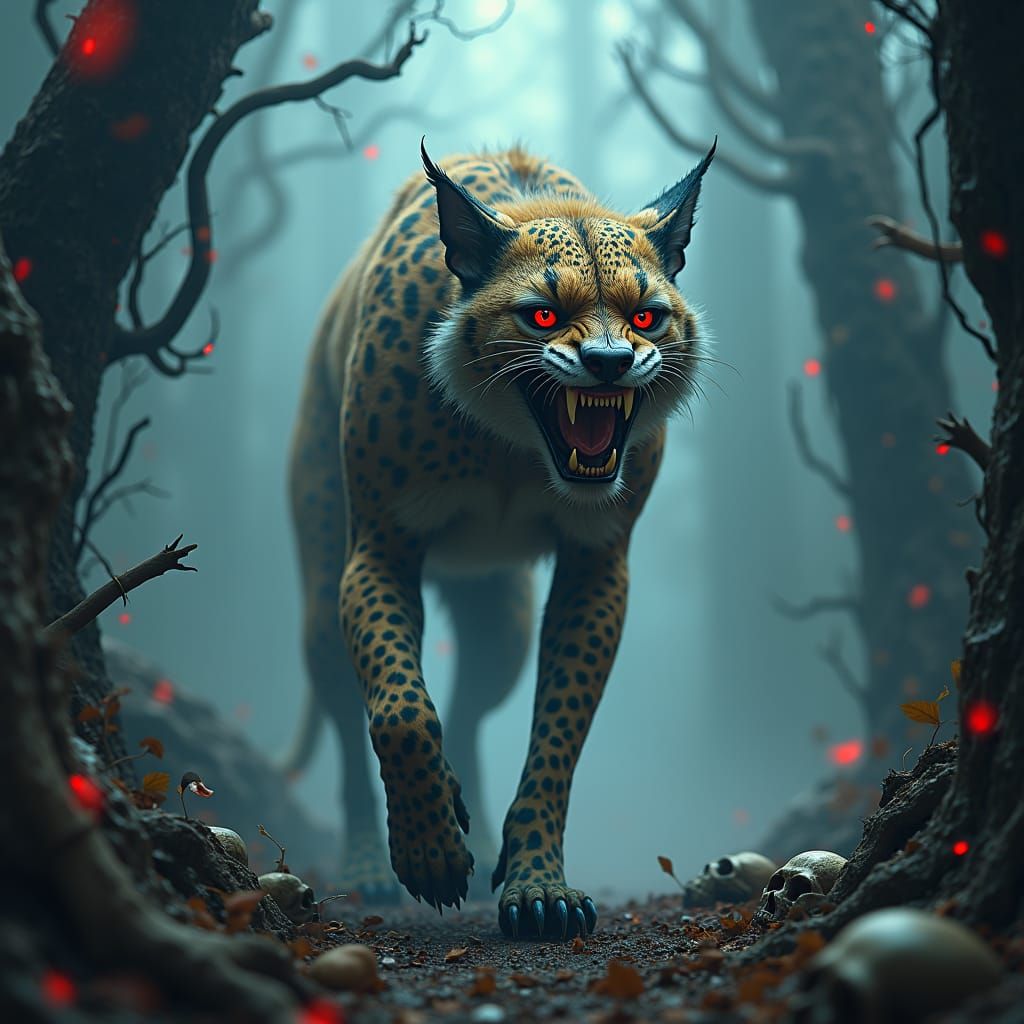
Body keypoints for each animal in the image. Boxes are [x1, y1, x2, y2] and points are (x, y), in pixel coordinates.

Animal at [285, 139, 715, 940]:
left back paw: (477, 832)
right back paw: (368, 865)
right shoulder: (380, 547)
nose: (610, 362)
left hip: (501, 622)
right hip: (322, 592)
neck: (511, 450)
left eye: (646, 316)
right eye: (543, 314)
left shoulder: (597, 562)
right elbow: (398, 709)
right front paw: (427, 853)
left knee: (468, 712)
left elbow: (556, 740)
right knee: (353, 729)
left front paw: (537, 885)